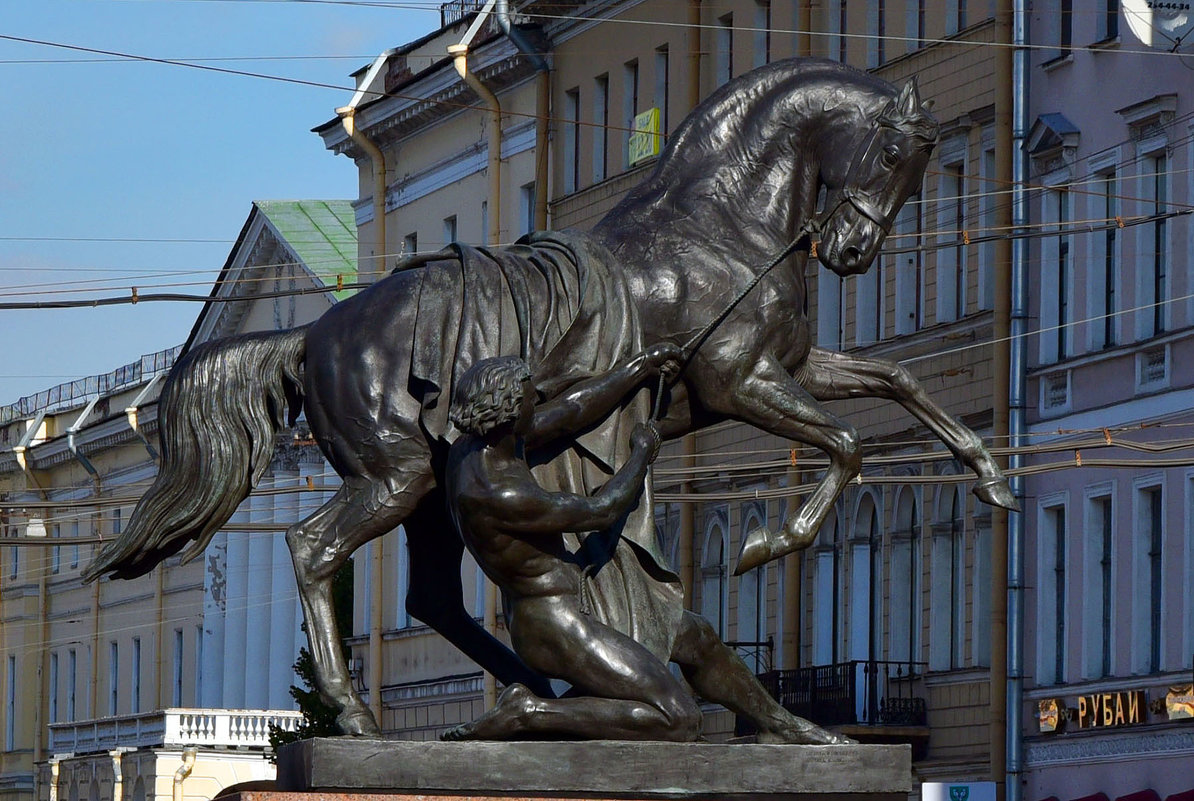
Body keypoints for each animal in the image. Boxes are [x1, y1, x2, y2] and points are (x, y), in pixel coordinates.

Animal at [84, 54, 1017, 735]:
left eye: (922, 167)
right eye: (893, 153)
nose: (854, 250)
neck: (720, 225)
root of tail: (313, 333)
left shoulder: (788, 366)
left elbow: (900, 382)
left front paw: (991, 477)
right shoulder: (738, 378)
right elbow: (846, 444)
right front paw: (767, 540)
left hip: (427, 491)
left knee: (430, 596)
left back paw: (531, 693)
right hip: (392, 477)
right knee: (314, 549)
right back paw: (359, 716)